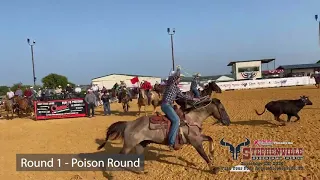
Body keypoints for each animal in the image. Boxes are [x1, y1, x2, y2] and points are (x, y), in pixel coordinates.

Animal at [97, 97, 230, 174]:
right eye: (222, 109)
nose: (228, 122)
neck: (191, 119)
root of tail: (129, 123)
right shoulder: (195, 142)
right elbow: (203, 155)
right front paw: (213, 168)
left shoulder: (197, 137)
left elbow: (210, 139)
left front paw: (212, 153)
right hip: (128, 146)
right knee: (116, 159)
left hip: (140, 145)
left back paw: (142, 172)